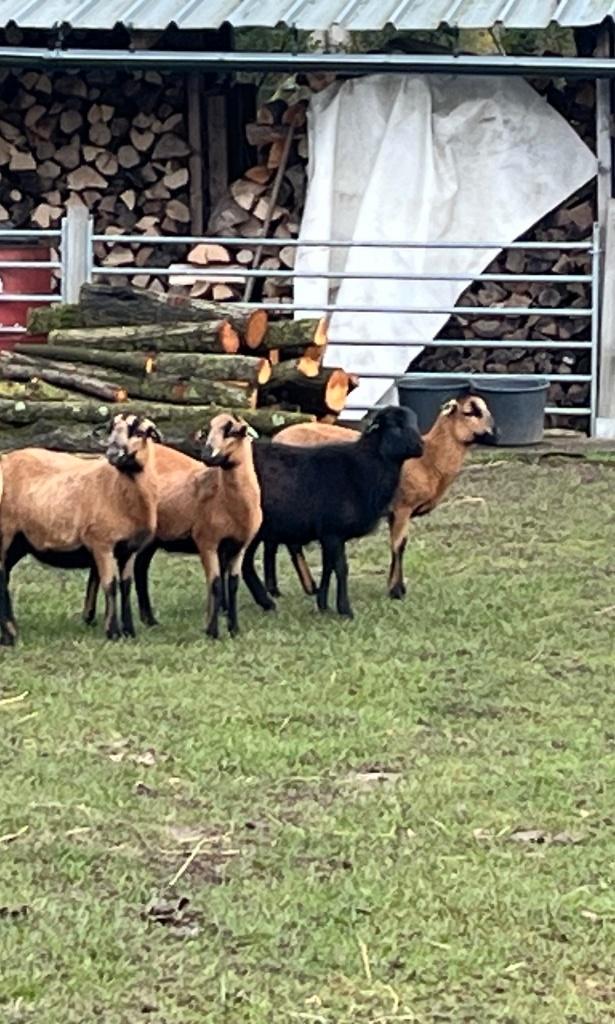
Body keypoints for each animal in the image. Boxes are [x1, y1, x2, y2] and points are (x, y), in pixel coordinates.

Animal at [0, 412, 161, 646]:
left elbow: (126, 586)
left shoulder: (129, 549)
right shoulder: (102, 543)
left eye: (140, 432)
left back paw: (9, 633)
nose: (113, 454)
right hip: (5, 533)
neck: (118, 489)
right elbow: (110, 585)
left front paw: (129, 631)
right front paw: (113, 632)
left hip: (19, 541)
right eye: (110, 429)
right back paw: (10, 636)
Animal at [82, 412, 262, 639]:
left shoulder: (239, 546)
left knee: (139, 569)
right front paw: (212, 631)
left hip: (151, 540)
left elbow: (233, 585)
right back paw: (91, 616)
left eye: (232, 431)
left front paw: (234, 629)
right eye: (207, 431)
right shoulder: (207, 542)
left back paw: (148, 620)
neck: (225, 497)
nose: (207, 455)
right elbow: (215, 583)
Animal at [242, 405, 424, 619]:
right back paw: (264, 602)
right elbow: (341, 568)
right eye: (395, 426)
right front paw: (345, 610)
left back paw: (263, 603)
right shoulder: (333, 531)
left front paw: (323, 605)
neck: (365, 467)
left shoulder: (329, 534)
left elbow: (328, 567)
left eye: (414, 422)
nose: (421, 446)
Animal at [267, 393, 496, 601]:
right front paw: (396, 591)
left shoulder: (395, 513)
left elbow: (398, 545)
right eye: (470, 412)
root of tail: (276, 438)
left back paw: (279, 590)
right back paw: (306, 587)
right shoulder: (402, 507)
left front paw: (394, 586)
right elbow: (399, 546)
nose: (496, 434)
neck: (429, 461)